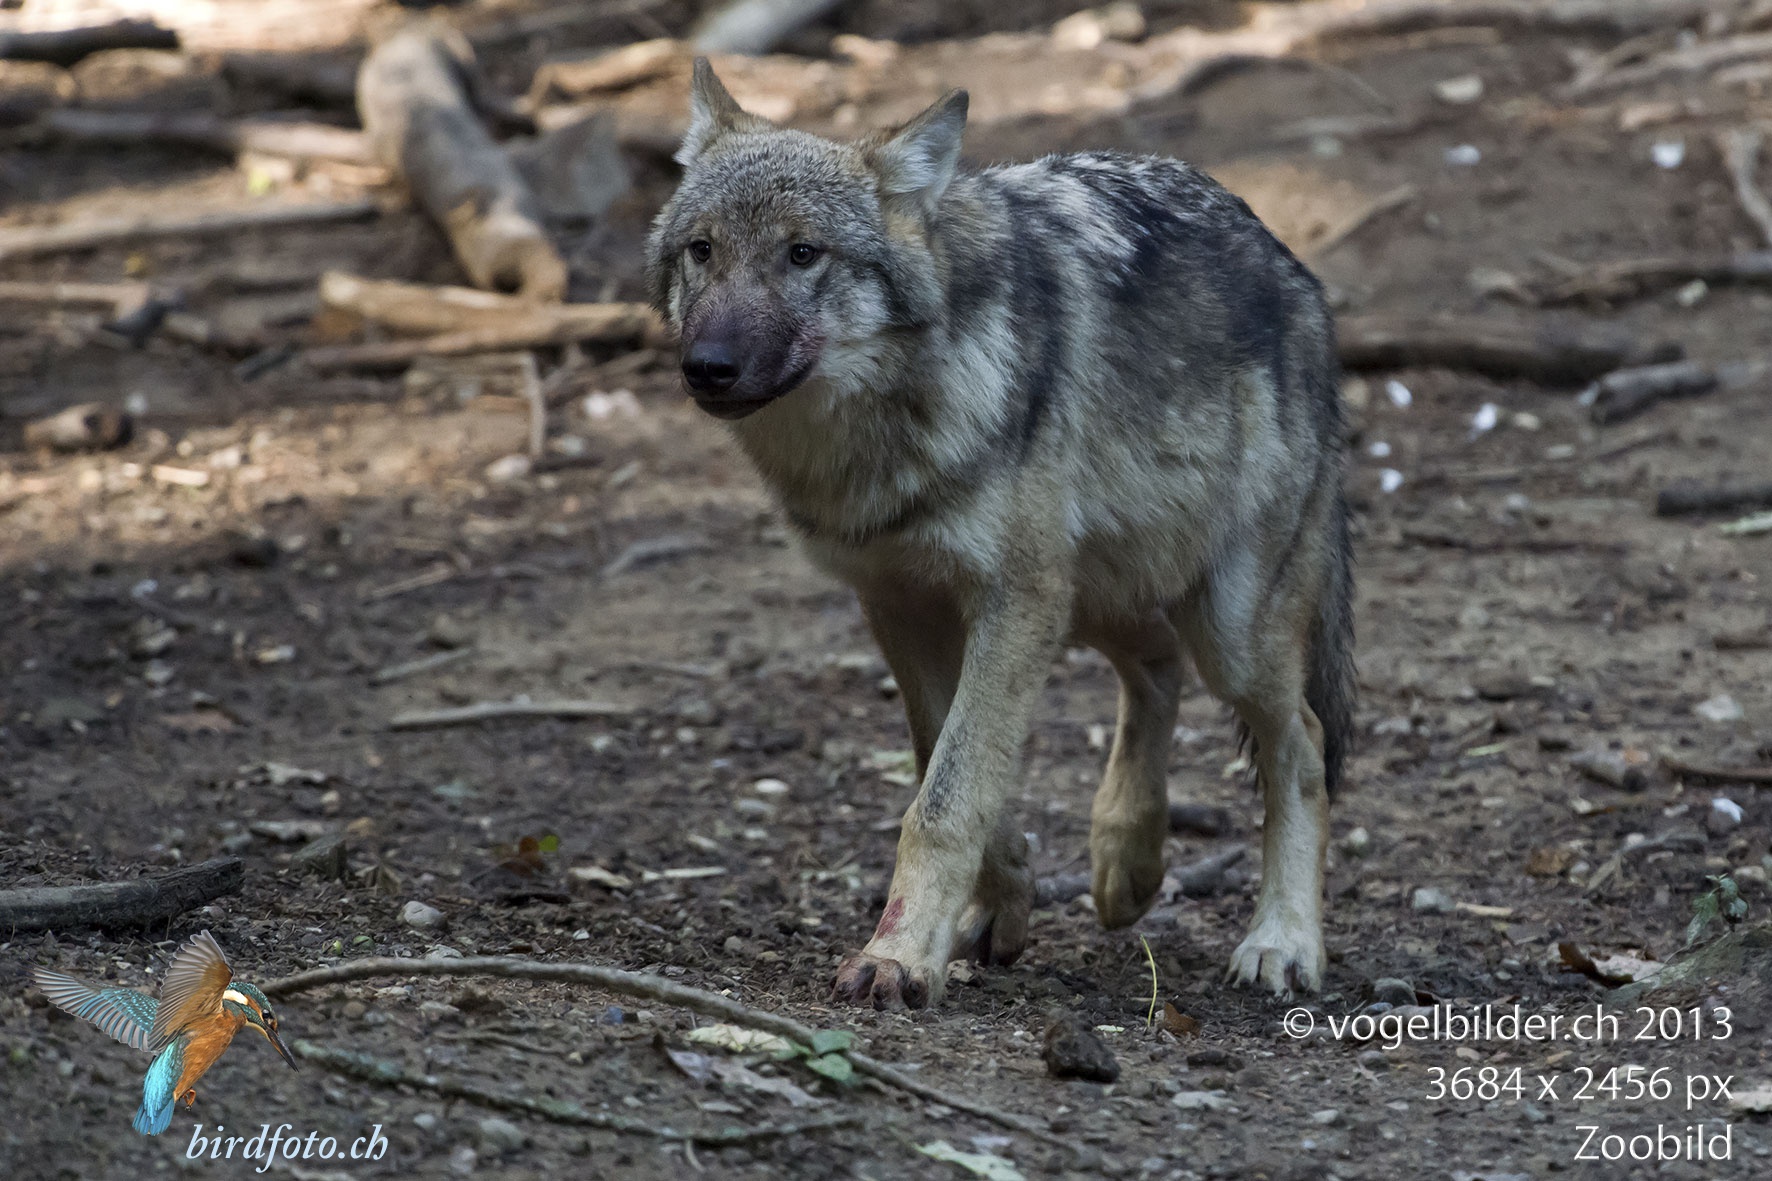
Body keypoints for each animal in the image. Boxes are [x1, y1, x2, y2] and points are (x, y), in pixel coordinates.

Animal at [645, 60, 1354, 1008]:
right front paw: (996, 900)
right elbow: (948, 771)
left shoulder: (1014, 601)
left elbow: (946, 799)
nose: (708, 367)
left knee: (1301, 745)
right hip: (1095, 598)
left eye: (802, 253)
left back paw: (1282, 941)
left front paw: (898, 955)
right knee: (1155, 665)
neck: (881, 435)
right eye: (703, 249)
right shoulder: (902, 603)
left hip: (1221, 628)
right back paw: (1127, 861)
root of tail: (1297, 270)